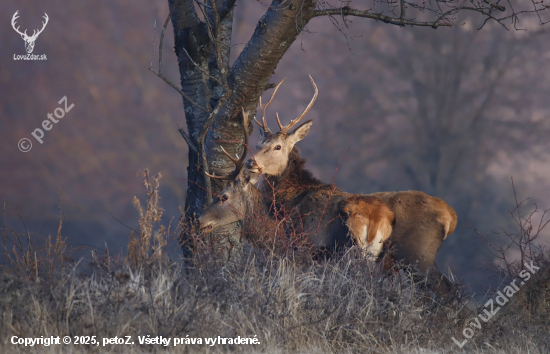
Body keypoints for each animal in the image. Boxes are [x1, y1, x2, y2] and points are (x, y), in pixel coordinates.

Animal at [248, 77, 460, 296]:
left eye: (277, 146)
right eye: (257, 145)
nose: (251, 163)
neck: (291, 201)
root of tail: (450, 217)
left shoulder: (307, 242)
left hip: (415, 253)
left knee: (444, 288)